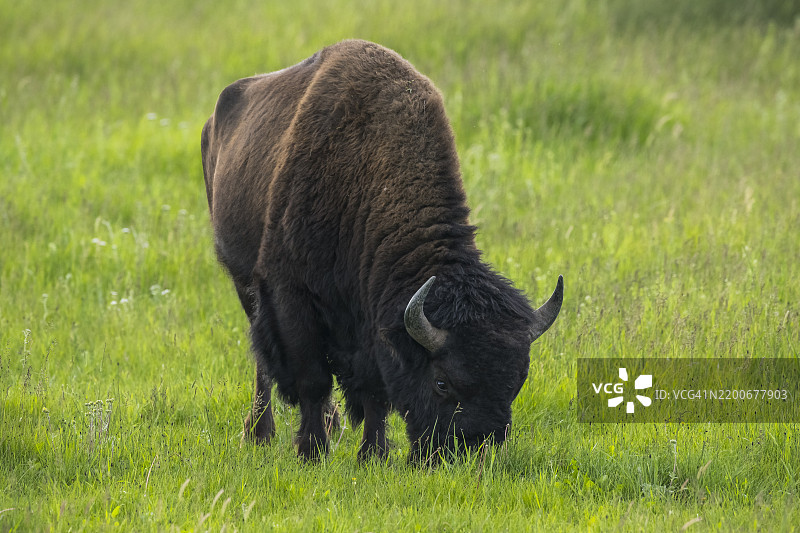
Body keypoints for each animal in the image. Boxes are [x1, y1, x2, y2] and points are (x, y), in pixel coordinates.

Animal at [201, 39, 563, 462]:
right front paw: (312, 452)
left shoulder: (371, 323)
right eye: (442, 382)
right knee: (263, 362)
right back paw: (259, 433)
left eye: (517, 380)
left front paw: (372, 454)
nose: (468, 451)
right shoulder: (290, 296)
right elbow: (312, 380)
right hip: (245, 283)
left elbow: (375, 391)